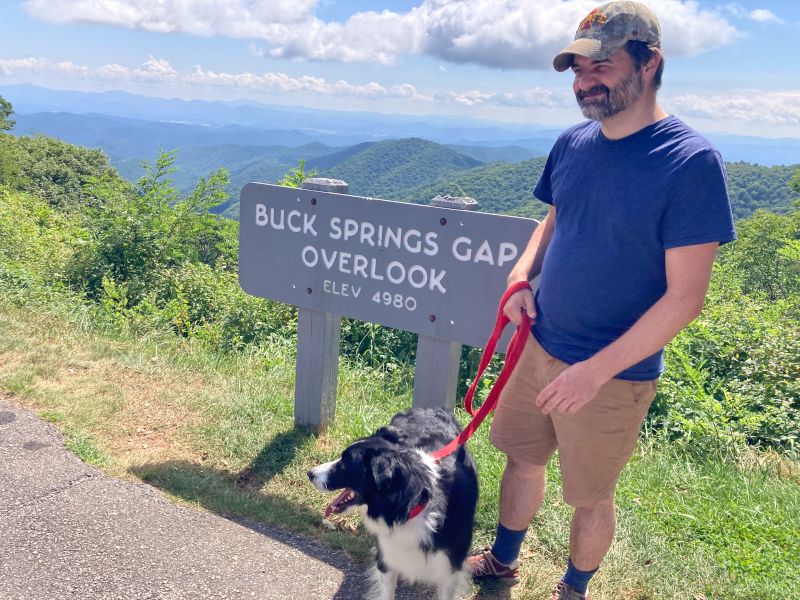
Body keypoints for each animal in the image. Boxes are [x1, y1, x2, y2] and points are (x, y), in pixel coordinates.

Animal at [310, 408, 478, 600]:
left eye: (345, 463)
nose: (310, 473)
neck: (412, 509)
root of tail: (429, 409)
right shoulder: (387, 558)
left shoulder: (450, 569)